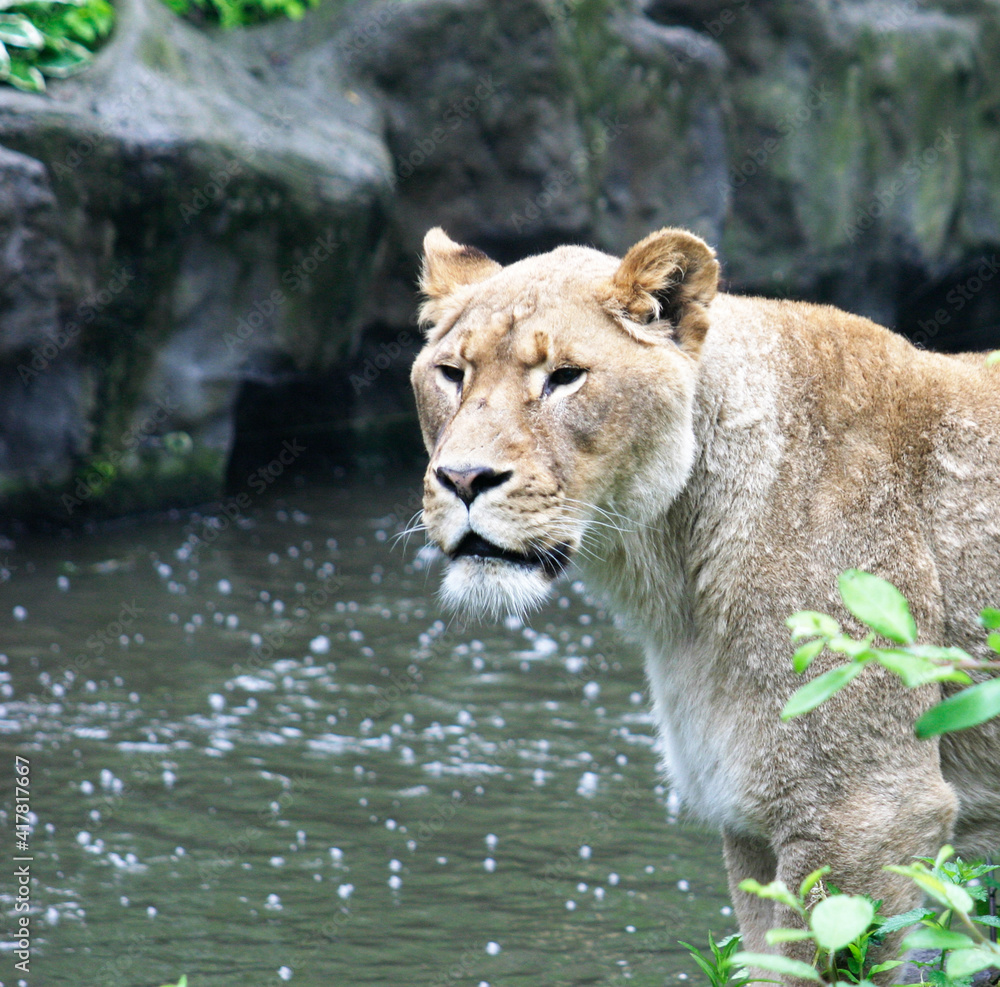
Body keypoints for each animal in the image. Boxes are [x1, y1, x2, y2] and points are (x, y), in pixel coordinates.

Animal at [409, 225, 1000, 980]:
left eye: (565, 376)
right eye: (452, 373)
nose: (462, 478)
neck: (675, 574)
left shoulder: (868, 813)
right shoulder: (751, 823)